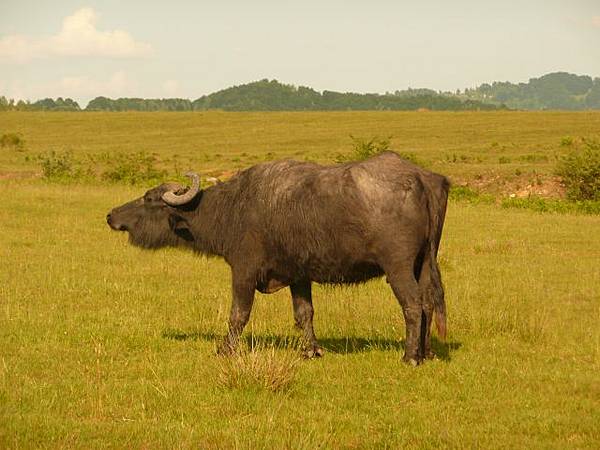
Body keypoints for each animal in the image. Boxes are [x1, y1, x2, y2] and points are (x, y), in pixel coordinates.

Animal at [106, 153, 446, 364]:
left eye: (149, 199)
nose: (111, 215)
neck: (231, 209)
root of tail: (421, 177)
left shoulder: (243, 271)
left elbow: (238, 314)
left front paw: (225, 349)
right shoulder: (298, 275)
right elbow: (304, 313)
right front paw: (311, 350)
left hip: (399, 267)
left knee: (413, 304)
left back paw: (410, 356)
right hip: (424, 264)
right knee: (429, 302)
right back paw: (427, 352)